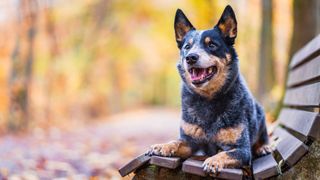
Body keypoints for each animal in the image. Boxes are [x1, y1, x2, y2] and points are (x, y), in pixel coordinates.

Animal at [148, 5, 270, 174]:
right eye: (187, 47)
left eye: (211, 45)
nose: (190, 57)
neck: (208, 99)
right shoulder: (189, 142)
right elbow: (177, 142)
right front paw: (163, 145)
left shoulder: (242, 149)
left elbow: (225, 153)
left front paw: (213, 160)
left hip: (260, 114)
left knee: (263, 136)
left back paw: (264, 147)